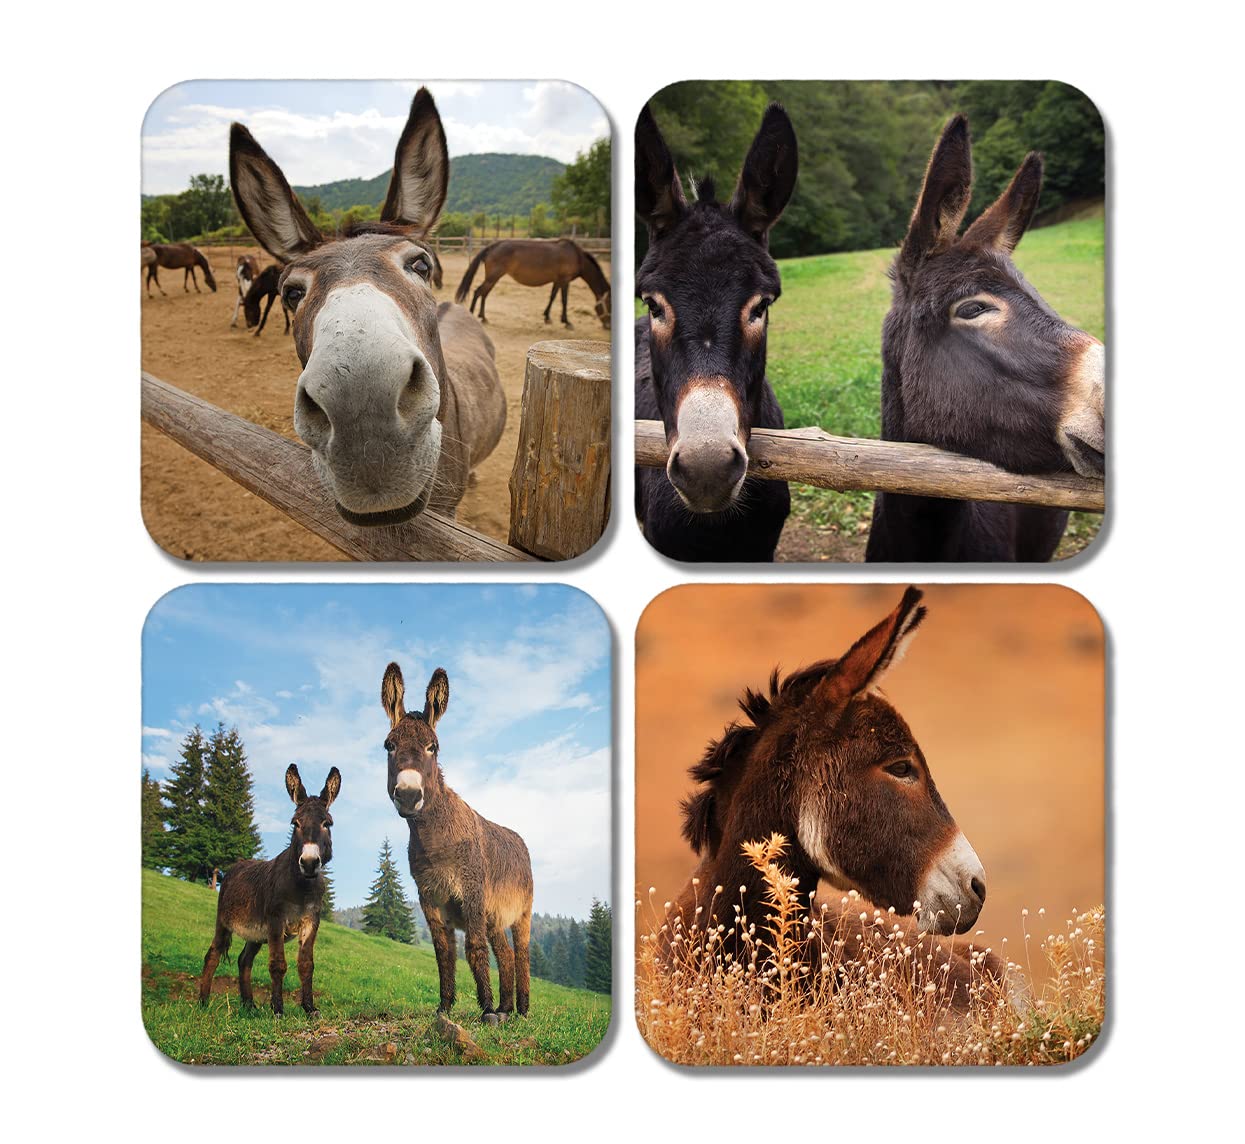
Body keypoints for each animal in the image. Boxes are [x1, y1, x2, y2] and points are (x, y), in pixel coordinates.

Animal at [198, 765, 341, 1016]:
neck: (302, 886)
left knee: (244, 960)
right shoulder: (276, 919)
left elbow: (306, 965)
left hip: (255, 933)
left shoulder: (311, 921)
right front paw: (278, 1009)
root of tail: (237, 865)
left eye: (327, 824)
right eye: (295, 824)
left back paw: (249, 1005)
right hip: (223, 921)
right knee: (213, 954)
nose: (309, 863)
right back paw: (203, 1002)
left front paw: (309, 1008)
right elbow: (277, 965)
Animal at [381, 662, 534, 1025]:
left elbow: (474, 949)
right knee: (505, 953)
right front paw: (445, 1006)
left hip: (522, 914)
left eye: (432, 747)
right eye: (389, 746)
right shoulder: (430, 899)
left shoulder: (472, 893)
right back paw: (508, 1008)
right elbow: (444, 953)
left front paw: (487, 1009)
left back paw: (521, 1009)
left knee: (521, 954)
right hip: (495, 916)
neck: (436, 840)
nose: (409, 795)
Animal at [454, 238, 611, 329]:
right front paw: (566, 322)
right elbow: (564, 300)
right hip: (493, 277)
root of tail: (492, 246)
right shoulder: (565, 280)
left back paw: (483, 317)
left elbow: (552, 297)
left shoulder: (557, 280)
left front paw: (547, 317)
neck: (577, 256)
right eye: (610, 305)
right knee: (478, 292)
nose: (608, 325)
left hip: (493, 278)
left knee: (484, 294)